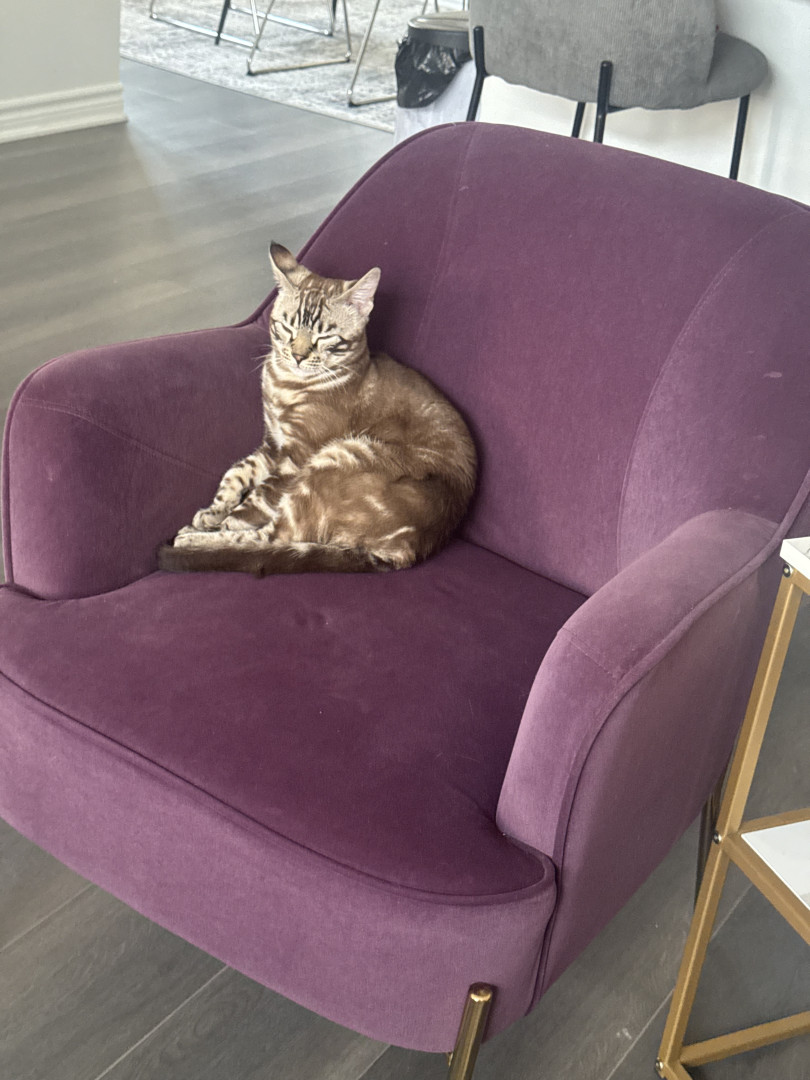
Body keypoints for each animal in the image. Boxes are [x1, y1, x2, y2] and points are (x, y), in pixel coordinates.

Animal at [157, 243, 477, 576]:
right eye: (287, 328)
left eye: (325, 337)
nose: (298, 355)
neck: (283, 384)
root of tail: (408, 551)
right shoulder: (272, 444)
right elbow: (236, 473)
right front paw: (213, 511)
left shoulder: (296, 456)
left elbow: (254, 502)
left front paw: (218, 524)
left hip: (338, 457)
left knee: (268, 540)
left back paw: (191, 540)